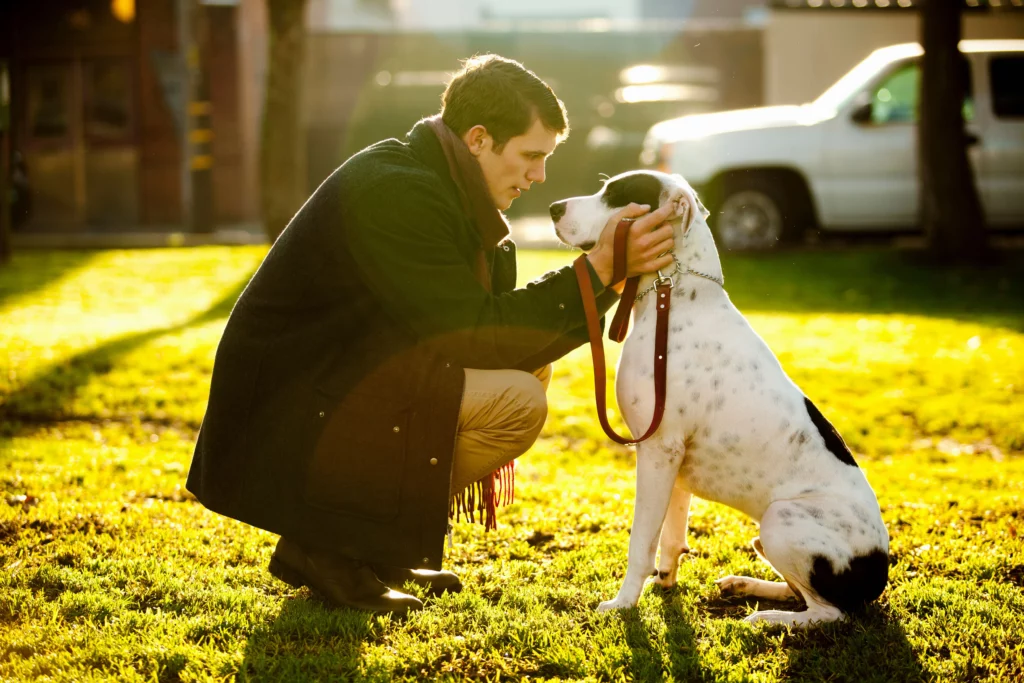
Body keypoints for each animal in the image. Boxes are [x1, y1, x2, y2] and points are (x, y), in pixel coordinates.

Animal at [552, 172, 888, 630]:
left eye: (615, 195)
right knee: (800, 593)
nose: (553, 208)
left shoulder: (657, 450)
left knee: (828, 613)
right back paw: (746, 586)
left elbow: (642, 541)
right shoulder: (672, 462)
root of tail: (880, 571)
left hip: (781, 520)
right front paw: (665, 582)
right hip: (767, 536)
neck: (673, 294)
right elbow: (671, 535)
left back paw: (766, 618)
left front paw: (623, 603)